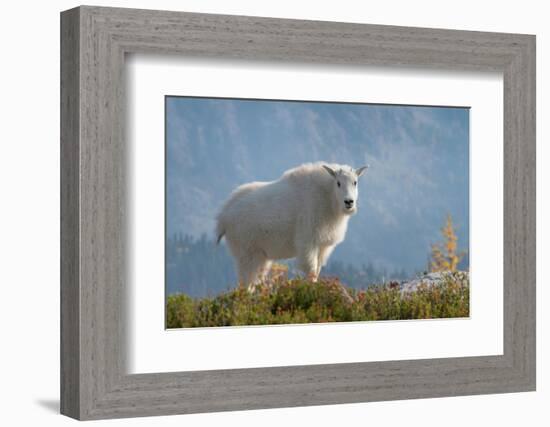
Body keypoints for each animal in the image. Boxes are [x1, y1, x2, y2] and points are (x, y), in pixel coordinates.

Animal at [218, 163, 368, 288]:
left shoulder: (323, 246)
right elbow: (311, 270)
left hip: (260, 255)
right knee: (245, 282)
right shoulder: (308, 241)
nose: (349, 202)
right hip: (246, 251)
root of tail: (223, 216)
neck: (327, 197)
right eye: (338, 183)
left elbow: (318, 269)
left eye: (355, 182)